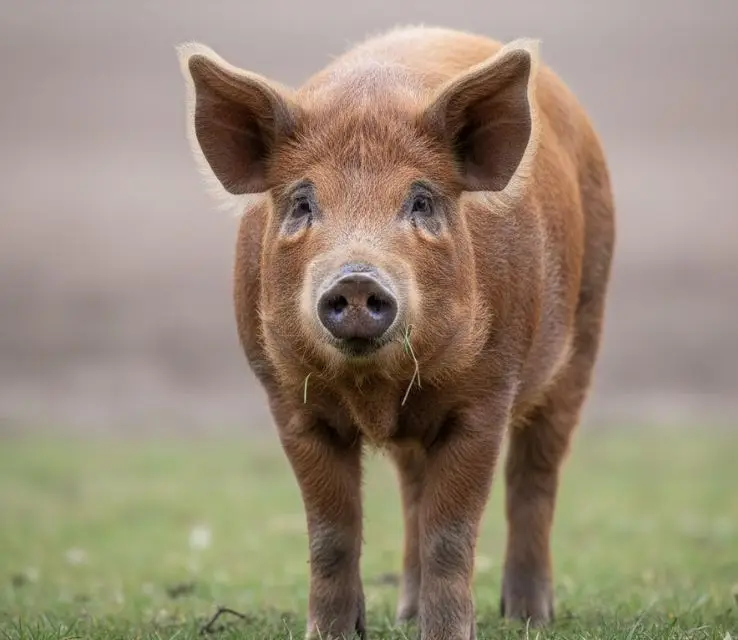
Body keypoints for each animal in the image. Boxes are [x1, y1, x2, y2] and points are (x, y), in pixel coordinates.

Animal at [177, 24, 615, 640]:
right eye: (303, 202)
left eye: (421, 200)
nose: (357, 278)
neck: (376, 390)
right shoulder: (290, 403)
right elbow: (331, 536)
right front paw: (333, 634)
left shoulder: (486, 399)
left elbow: (450, 537)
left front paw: (450, 634)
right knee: (413, 486)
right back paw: (407, 614)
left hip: (586, 328)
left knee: (536, 474)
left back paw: (530, 616)